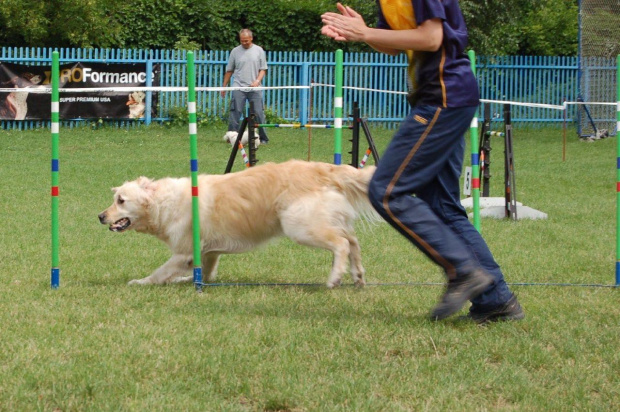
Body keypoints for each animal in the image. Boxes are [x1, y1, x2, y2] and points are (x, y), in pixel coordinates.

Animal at [98, 159, 378, 288]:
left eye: (121, 200)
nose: (100, 216)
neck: (163, 202)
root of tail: (324, 169)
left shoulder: (184, 253)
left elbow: (160, 272)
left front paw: (141, 282)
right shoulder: (207, 253)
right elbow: (204, 273)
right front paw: (187, 282)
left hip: (300, 226)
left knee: (342, 243)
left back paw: (335, 277)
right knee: (353, 241)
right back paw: (358, 276)